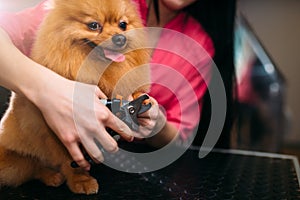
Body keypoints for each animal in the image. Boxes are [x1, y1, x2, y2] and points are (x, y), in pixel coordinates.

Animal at [0, 0, 150, 195]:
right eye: (93, 25)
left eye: (123, 24)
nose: (120, 38)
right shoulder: (60, 134)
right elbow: (71, 160)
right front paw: (81, 180)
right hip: (18, 160)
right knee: (33, 168)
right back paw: (51, 176)